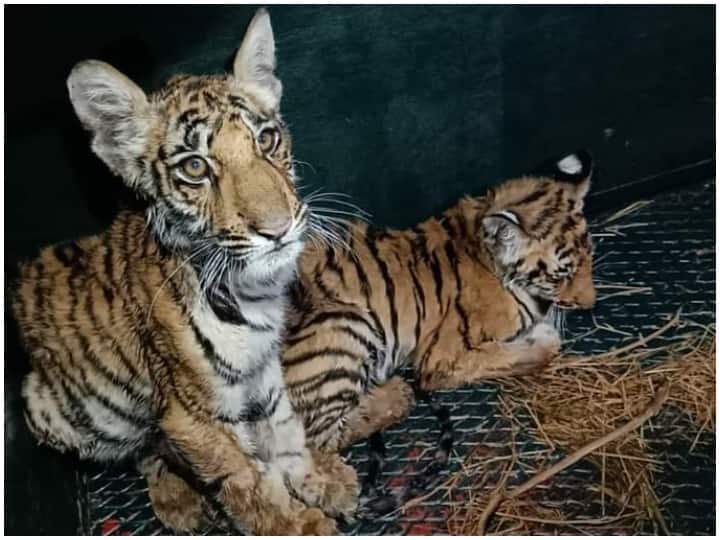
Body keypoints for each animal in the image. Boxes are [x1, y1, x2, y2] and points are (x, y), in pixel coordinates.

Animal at [11, 9, 358, 535]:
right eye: (195, 167)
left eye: (267, 139)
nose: (277, 229)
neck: (251, 290)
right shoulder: (193, 415)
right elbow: (250, 483)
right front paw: (297, 525)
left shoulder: (265, 370)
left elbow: (284, 429)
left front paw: (319, 478)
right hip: (72, 413)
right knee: (146, 452)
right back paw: (180, 500)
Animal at [283, 150, 597, 456]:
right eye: (561, 276)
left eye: (589, 257)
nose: (590, 303)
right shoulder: (442, 358)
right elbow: (530, 352)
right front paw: (543, 336)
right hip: (347, 321)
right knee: (319, 439)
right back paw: (398, 392)